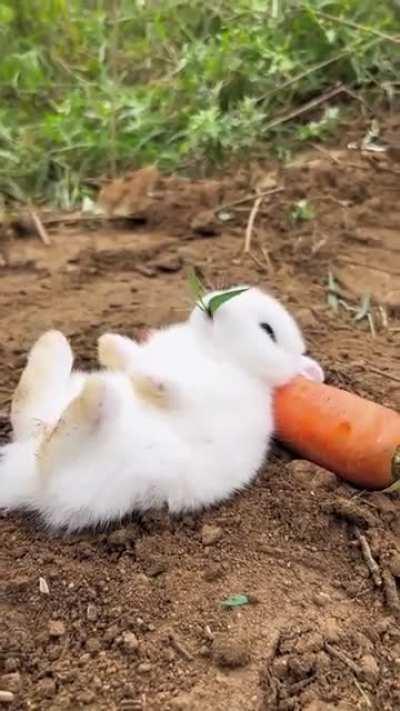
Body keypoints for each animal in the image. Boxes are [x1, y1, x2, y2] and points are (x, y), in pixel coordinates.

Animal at [0, 286, 323, 531]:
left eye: (268, 330)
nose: (212, 306)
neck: (213, 350)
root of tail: (22, 476)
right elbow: (129, 355)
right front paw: (108, 344)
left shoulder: (209, 400)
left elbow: (174, 392)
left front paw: (147, 379)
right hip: (51, 409)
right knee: (29, 410)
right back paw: (53, 344)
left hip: (81, 470)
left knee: (53, 448)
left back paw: (96, 394)